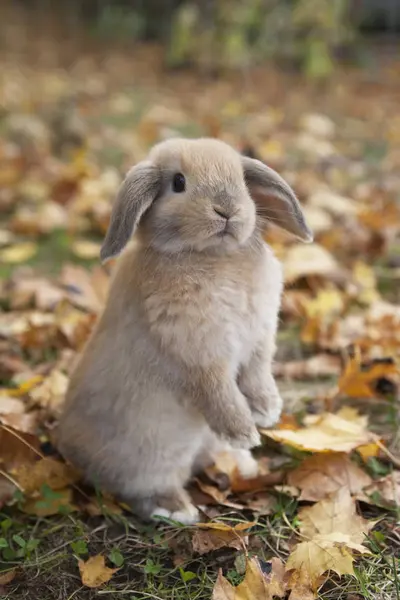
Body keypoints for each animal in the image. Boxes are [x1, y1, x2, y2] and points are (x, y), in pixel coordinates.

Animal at [57, 138, 312, 524]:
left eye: (241, 179)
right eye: (178, 182)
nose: (227, 210)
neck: (213, 255)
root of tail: (70, 451)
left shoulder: (257, 342)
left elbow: (257, 374)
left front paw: (268, 411)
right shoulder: (199, 355)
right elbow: (219, 391)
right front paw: (244, 431)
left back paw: (242, 465)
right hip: (149, 454)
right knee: (141, 488)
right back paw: (176, 508)